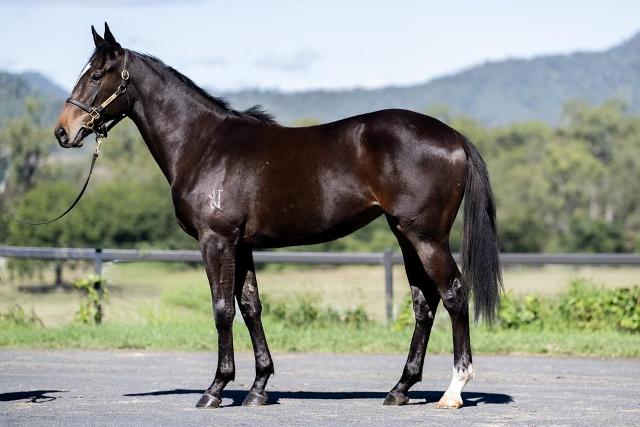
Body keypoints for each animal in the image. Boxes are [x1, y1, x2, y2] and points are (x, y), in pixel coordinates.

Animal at [55, 23, 502, 410]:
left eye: (96, 75)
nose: (63, 132)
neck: (204, 145)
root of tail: (453, 137)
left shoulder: (216, 241)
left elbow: (222, 309)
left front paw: (215, 389)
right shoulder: (242, 246)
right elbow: (251, 308)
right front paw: (258, 388)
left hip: (426, 237)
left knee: (453, 294)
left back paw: (454, 390)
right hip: (406, 235)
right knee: (424, 304)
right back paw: (400, 389)